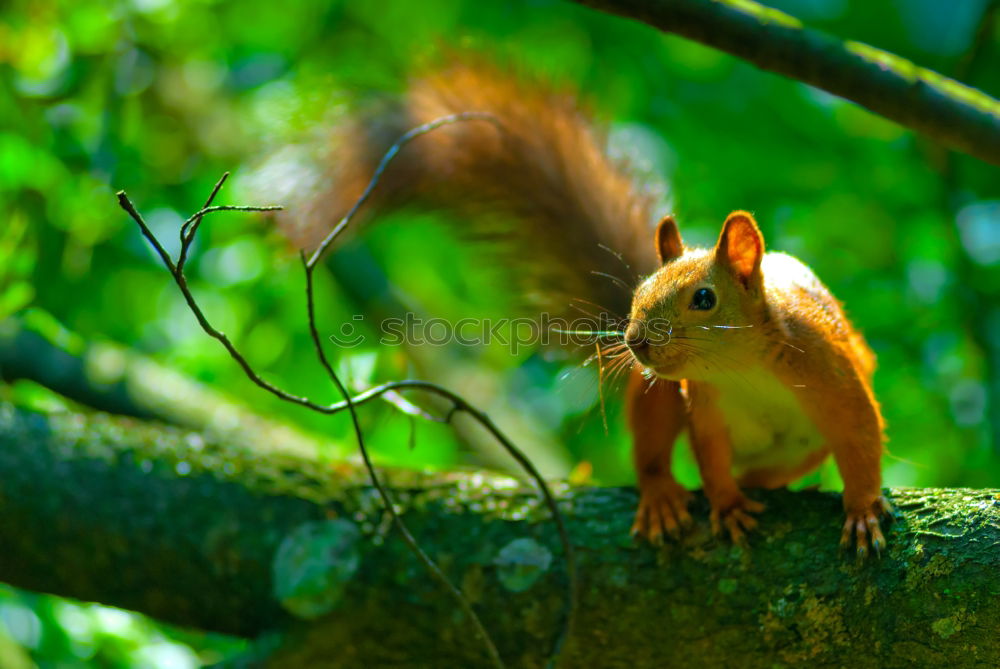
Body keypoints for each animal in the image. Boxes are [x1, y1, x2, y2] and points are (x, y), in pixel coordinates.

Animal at [288, 60, 892, 556]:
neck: (741, 369)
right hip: (656, 397)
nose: (635, 341)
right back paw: (661, 495)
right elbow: (711, 457)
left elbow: (860, 437)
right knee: (654, 450)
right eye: (637, 294)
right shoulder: (704, 405)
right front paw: (725, 503)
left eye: (704, 299)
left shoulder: (828, 370)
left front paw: (863, 510)